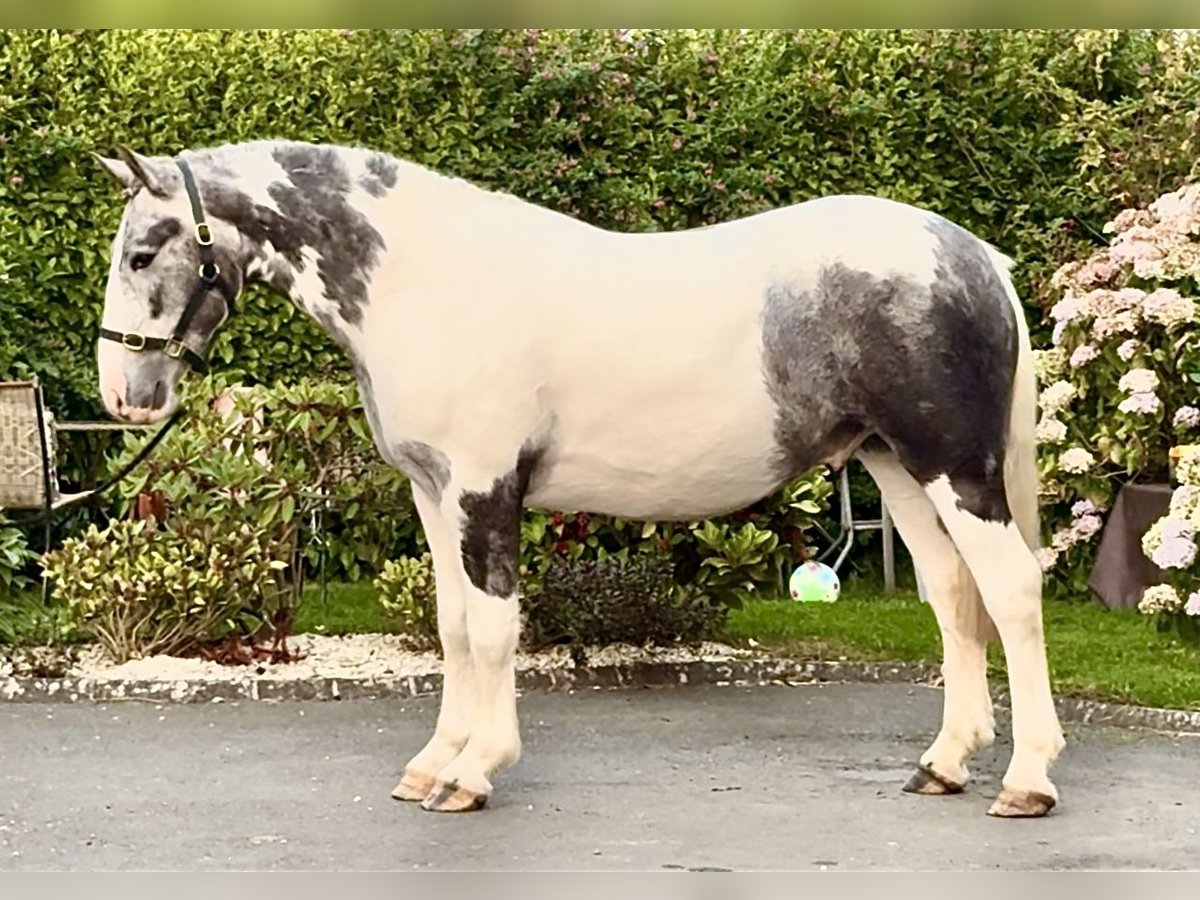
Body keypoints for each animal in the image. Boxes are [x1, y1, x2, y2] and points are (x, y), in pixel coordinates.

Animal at [96, 139, 1070, 816]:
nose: (124, 395)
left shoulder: (484, 491)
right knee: (953, 594)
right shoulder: (432, 494)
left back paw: (1025, 779)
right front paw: (432, 763)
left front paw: (474, 773)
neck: (428, 282)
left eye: (142, 254)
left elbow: (494, 631)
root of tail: (974, 256)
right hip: (894, 466)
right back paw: (944, 763)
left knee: (1011, 590)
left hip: (955, 468)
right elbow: (453, 627)